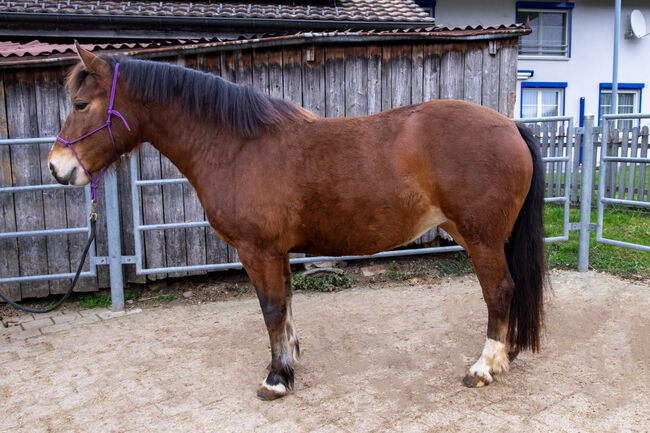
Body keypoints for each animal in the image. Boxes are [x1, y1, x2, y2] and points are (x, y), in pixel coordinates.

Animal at [48, 43, 546, 400]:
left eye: (80, 104)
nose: (57, 167)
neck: (236, 145)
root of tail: (509, 125)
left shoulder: (258, 250)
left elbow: (270, 309)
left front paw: (275, 378)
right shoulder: (278, 251)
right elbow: (285, 305)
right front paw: (289, 361)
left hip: (480, 238)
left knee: (499, 291)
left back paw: (484, 367)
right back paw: (506, 354)